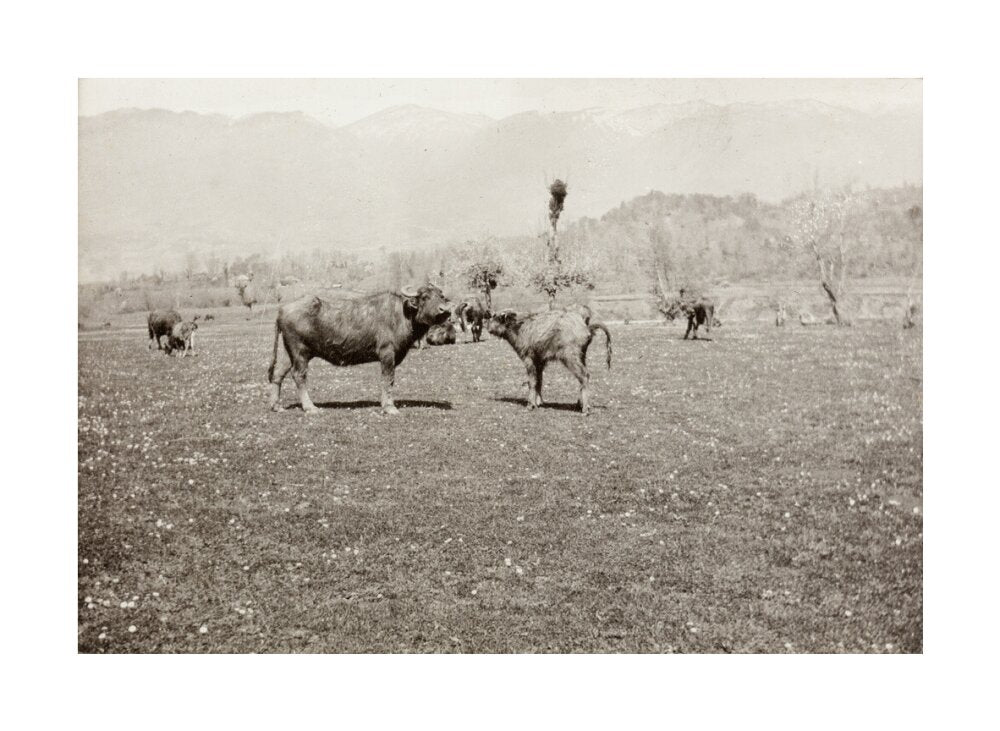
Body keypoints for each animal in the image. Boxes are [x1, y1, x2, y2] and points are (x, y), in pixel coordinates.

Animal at [268, 284, 452, 414]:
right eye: (425, 297)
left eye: (441, 296)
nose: (445, 310)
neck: (402, 315)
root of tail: (282, 310)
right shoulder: (387, 354)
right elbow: (388, 379)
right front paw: (389, 407)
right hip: (300, 352)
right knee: (299, 375)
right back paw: (310, 407)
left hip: (287, 352)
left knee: (278, 374)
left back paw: (276, 406)